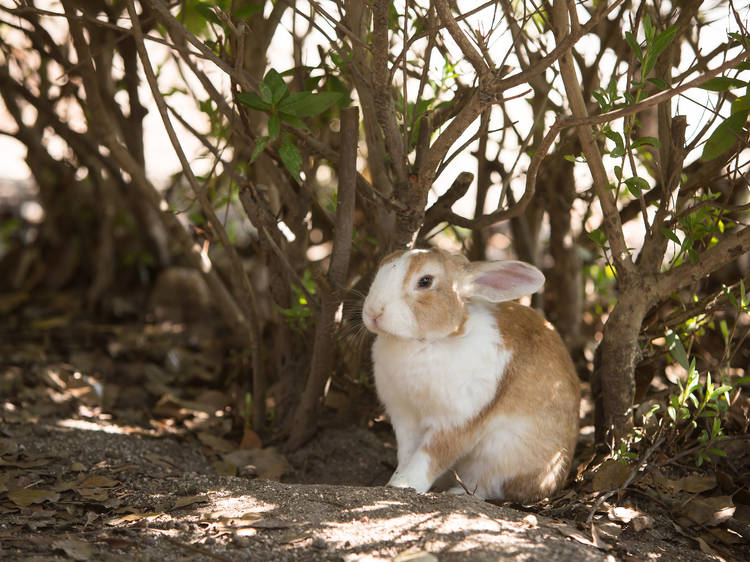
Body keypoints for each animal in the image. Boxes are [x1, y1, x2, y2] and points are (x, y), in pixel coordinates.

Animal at [362, 247, 580, 500]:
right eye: (383, 264)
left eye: (425, 281)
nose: (372, 312)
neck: (425, 342)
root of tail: (555, 483)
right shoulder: (404, 416)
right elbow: (407, 453)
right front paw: (397, 479)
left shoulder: (458, 421)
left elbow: (430, 456)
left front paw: (403, 484)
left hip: (501, 455)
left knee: (489, 486)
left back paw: (458, 491)